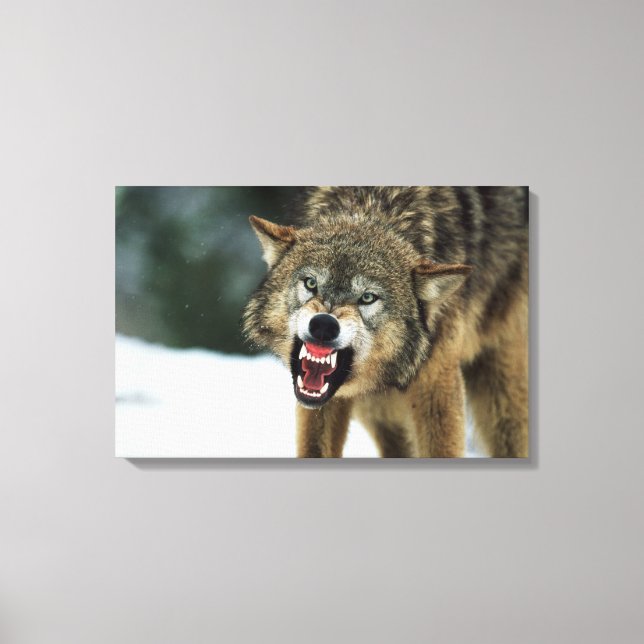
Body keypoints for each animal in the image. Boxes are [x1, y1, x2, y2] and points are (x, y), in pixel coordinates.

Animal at [242, 187, 528, 458]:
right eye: (311, 283)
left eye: (368, 297)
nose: (323, 324)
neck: (375, 205)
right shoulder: (324, 400)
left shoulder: (437, 383)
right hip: (378, 410)